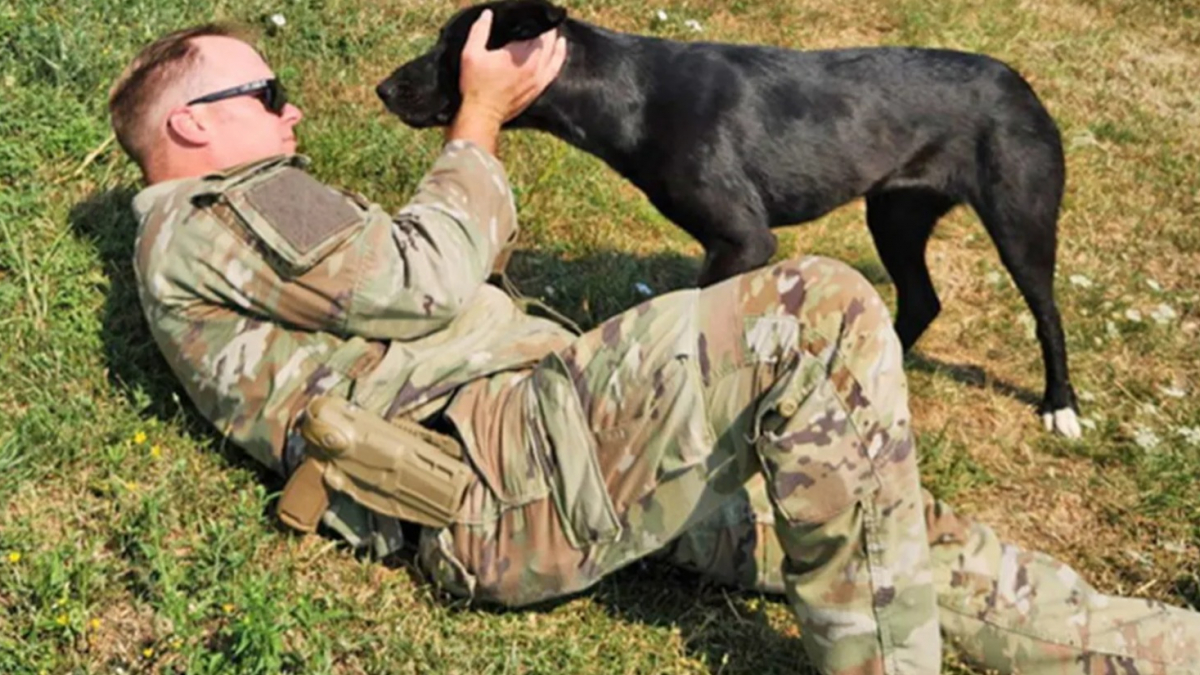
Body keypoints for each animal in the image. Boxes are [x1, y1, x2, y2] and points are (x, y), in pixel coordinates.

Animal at [379, 0, 1084, 437]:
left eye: (451, 48)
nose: (384, 89)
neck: (627, 91)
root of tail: (1021, 84)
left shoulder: (743, 238)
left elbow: (696, 315)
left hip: (1020, 219)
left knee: (1046, 314)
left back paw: (1061, 406)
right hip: (896, 214)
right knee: (920, 299)